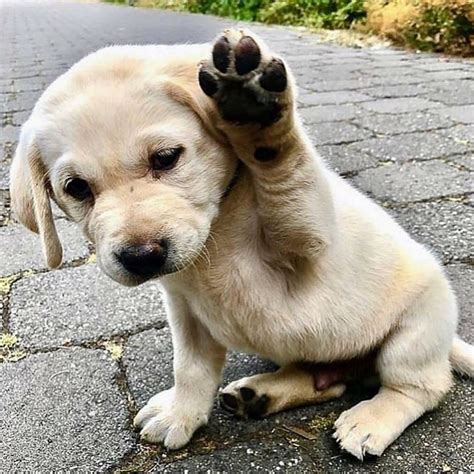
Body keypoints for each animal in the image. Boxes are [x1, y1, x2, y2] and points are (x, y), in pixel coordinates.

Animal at [9, 29, 472, 460]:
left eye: (166, 158)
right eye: (76, 188)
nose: (141, 257)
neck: (218, 227)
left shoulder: (310, 242)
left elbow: (287, 175)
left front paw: (258, 117)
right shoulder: (186, 310)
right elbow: (190, 368)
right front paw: (181, 412)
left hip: (416, 330)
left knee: (422, 388)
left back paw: (373, 417)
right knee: (328, 381)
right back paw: (261, 395)